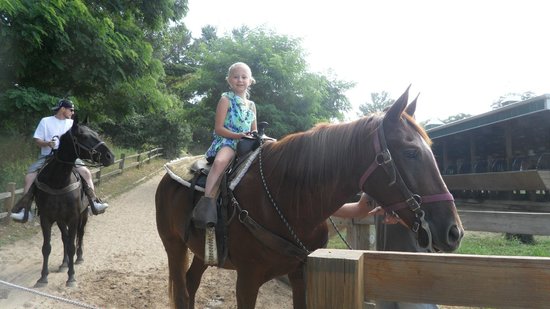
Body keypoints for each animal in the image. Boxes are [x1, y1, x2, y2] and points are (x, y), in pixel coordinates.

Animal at [33, 116, 115, 288]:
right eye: (84, 136)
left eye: (96, 134)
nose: (110, 156)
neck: (57, 182)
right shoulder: (46, 218)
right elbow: (47, 247)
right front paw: (43, 277)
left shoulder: (73, 217)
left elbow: (72, 246)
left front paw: (71, 277)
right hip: (60, 220)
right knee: (65, 237)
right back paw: (64, 263)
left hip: (83, 215)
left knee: (80, 234)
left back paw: (79, 258)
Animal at [155, 88, 466, 306]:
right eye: (411, 153)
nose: (454, 231)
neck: (289, 200)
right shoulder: (247, 281)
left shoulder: (301, 273)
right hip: (174, 246)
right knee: (182, 293)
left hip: (202, 251)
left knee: (191, 285)